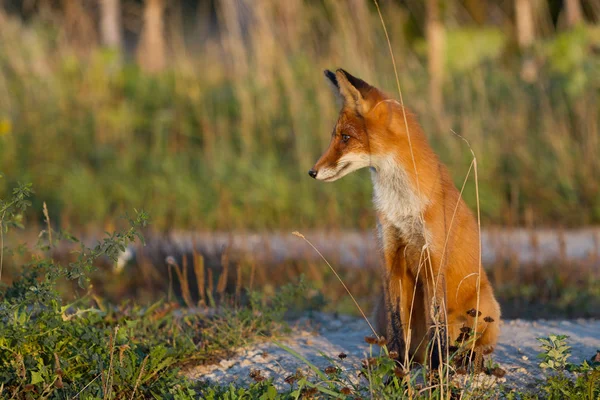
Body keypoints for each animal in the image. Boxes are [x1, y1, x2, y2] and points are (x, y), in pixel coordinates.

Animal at [310, 69, 502, 368]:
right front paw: (397, 368)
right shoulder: (390, 255)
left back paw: (464, 360)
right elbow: (396, 327)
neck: (400, 206)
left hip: (484, 306)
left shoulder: (433, 258)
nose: (312, 172)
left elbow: (437, 325)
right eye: (336, 136)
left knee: (477, 344)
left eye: (345, 137)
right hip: (379, 307)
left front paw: (437, 371)